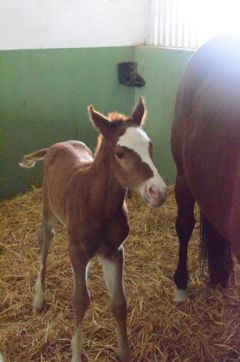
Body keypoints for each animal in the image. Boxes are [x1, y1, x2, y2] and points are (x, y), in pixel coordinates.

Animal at [19, 97, 167, 362]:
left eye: (150, 147)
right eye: (120, 153)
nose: (158, 191)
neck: (99, 205)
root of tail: (56, 145)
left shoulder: (114, 251)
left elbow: (119, 303)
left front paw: (124, 352)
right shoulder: (77, 251)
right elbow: (80, 301)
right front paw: (77, 354)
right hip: (49, 213)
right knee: (45, 243)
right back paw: (38, 299)